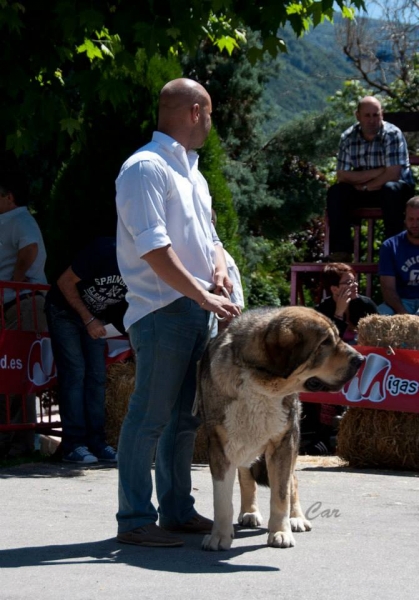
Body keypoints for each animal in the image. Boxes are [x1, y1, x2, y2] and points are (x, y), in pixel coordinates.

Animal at [195, 308, 366, 552]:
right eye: (325, 342)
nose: (361, 359)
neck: (261, 384)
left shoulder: (284, 443)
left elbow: (281, 493)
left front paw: (280, 532)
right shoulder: (220, 446)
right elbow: (222, 498)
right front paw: (219, 536)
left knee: (292, 481)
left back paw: (296, 518)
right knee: (246, 476)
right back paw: (249, 512)